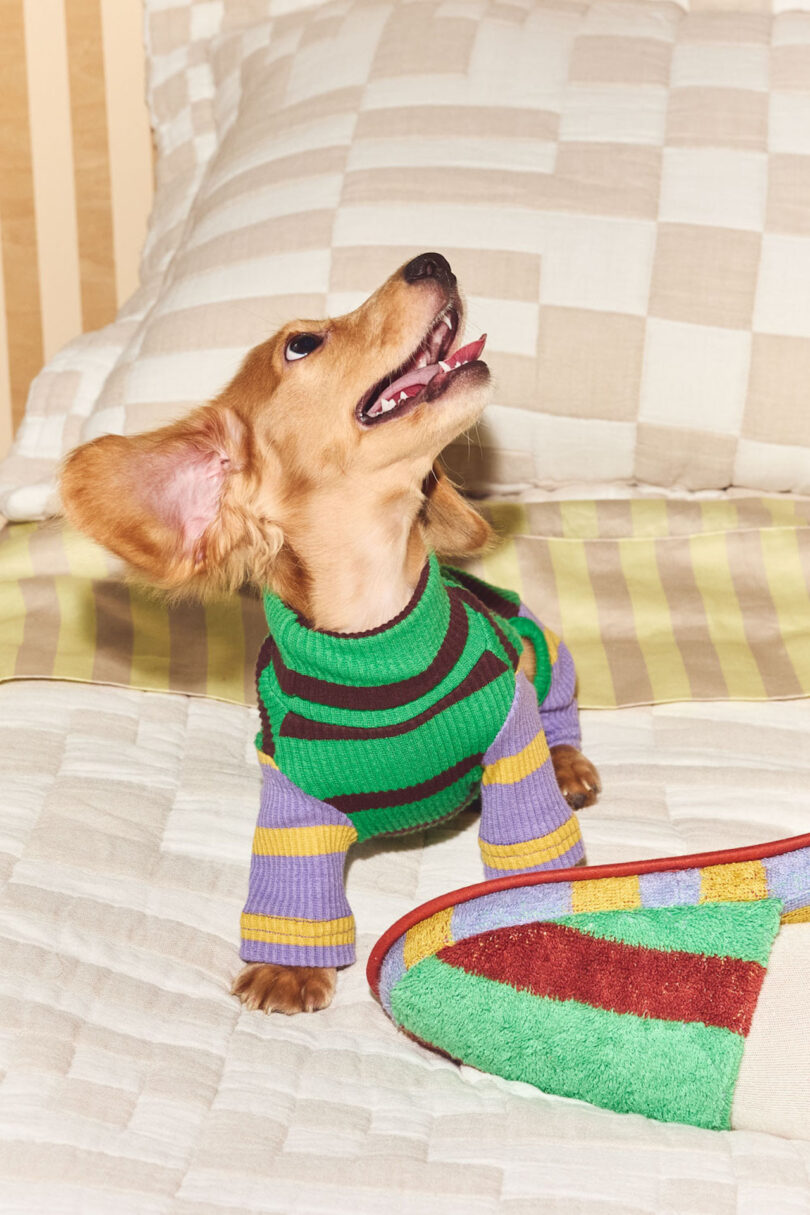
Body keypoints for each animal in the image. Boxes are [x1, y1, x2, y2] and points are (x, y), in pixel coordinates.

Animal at [60, 253, 599, 1015]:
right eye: (302, 345)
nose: (432, 259)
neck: (376, 637)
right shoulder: (292, 797)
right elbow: (293, 889)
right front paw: (285, 969)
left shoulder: (510, 735)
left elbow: (531, 842)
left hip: (538, 647)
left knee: (560, 709)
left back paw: (570, 761)